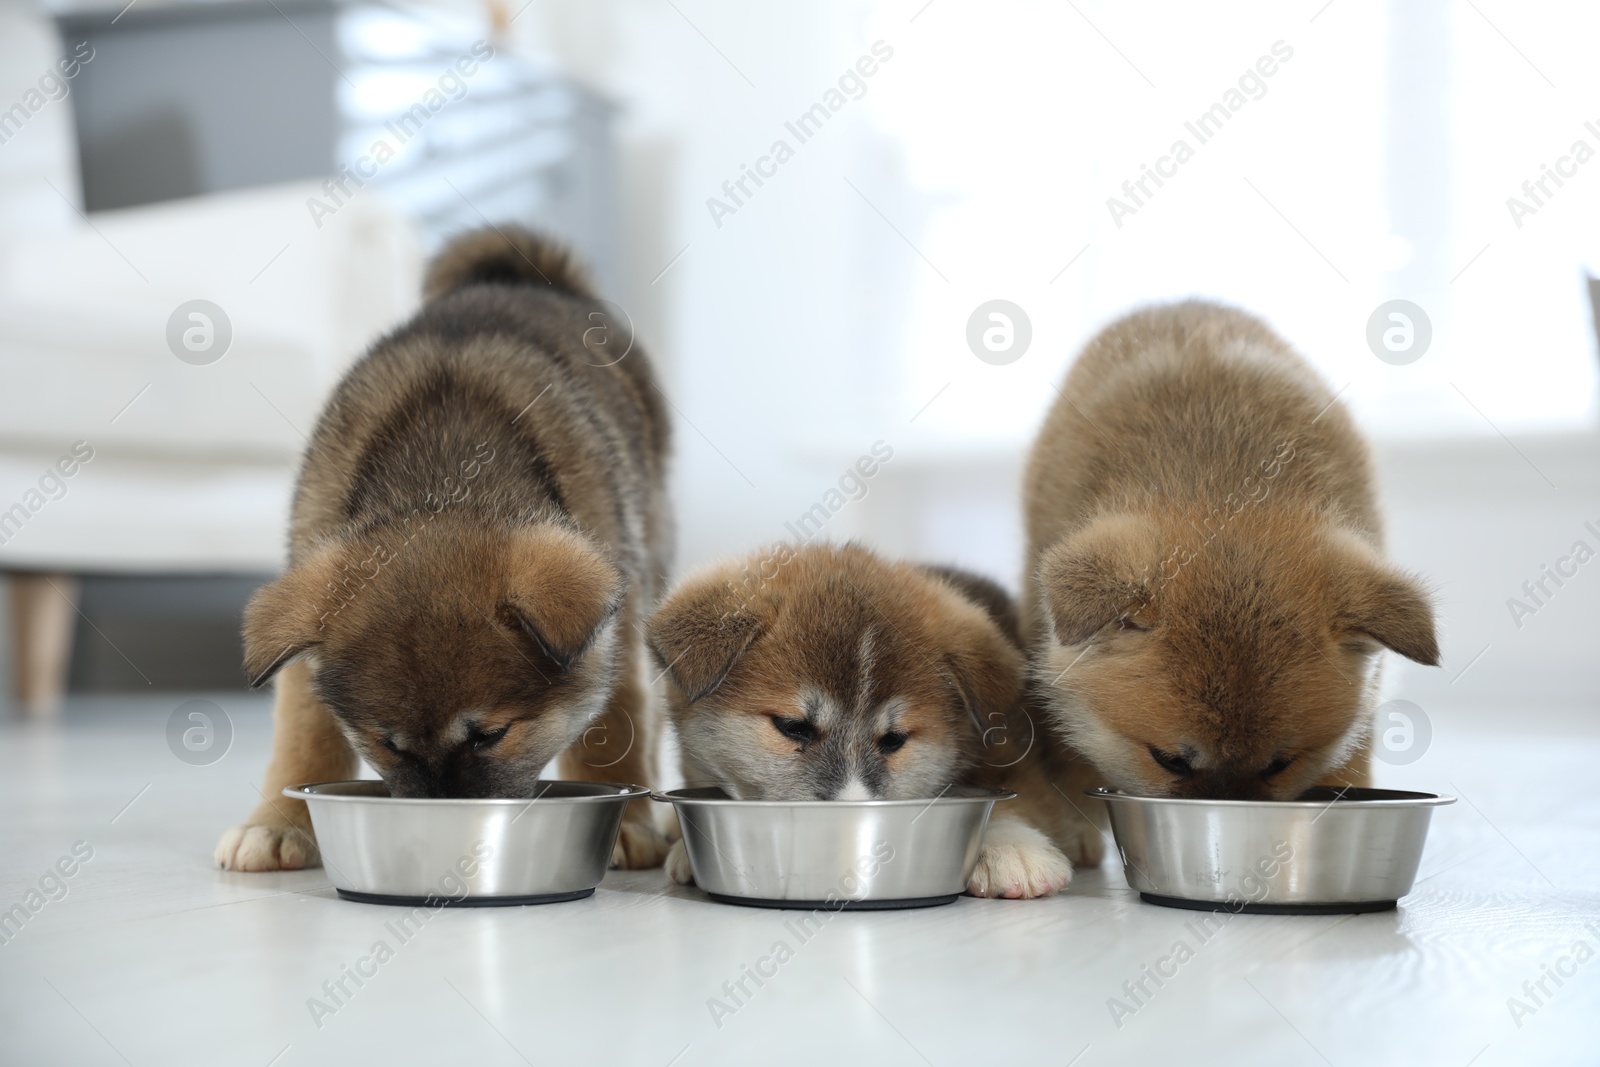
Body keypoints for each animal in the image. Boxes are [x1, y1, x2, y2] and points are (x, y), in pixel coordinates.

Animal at [209, 230, 672, 870]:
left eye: (490, 735)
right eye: (387, 744)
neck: (445, 482)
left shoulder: (617, 630)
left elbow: (619, 729)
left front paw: (628, 818)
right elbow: (305, 735)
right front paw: (278, 822)